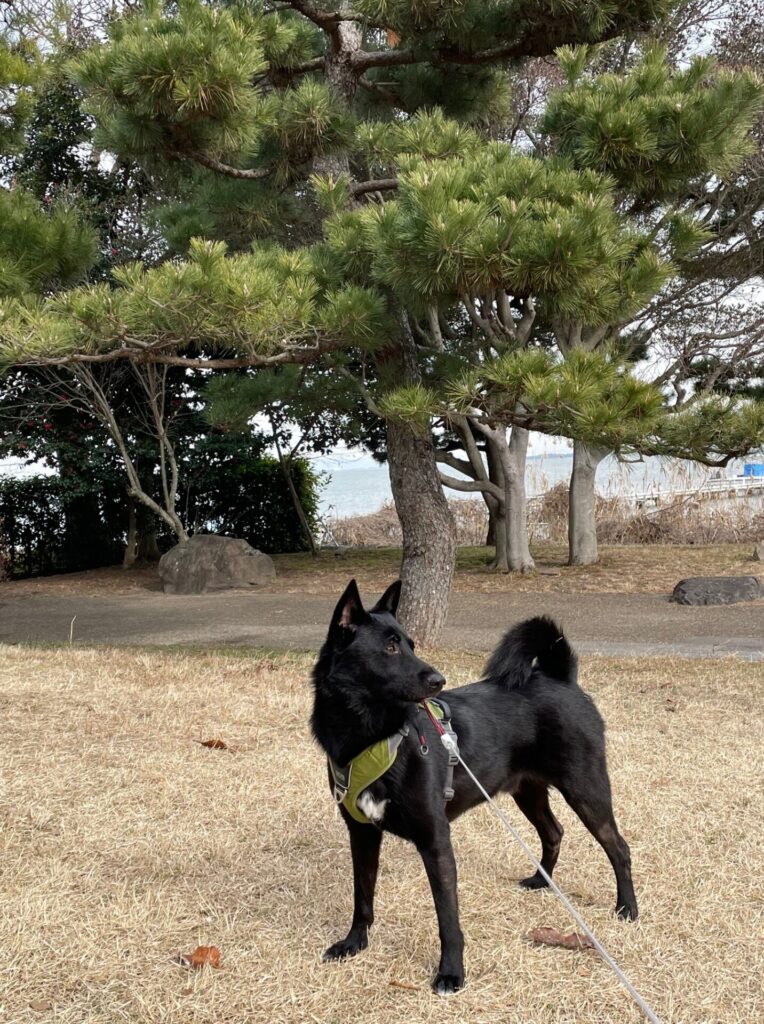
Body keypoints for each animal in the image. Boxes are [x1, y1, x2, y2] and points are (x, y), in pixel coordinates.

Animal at [309, 585, 634, 991]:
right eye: (390, 648)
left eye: (411, 644)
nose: (439, 680)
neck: (374, 736)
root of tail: (562, 678)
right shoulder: (362, 834)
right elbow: (362, 897)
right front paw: (354, 943)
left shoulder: (436, 841)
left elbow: (448, 918)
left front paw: (451, 972)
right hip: (528, 791)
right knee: (554, 831)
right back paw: (540, 881)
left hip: (586, 789)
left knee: (619, 847)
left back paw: (627, 909)